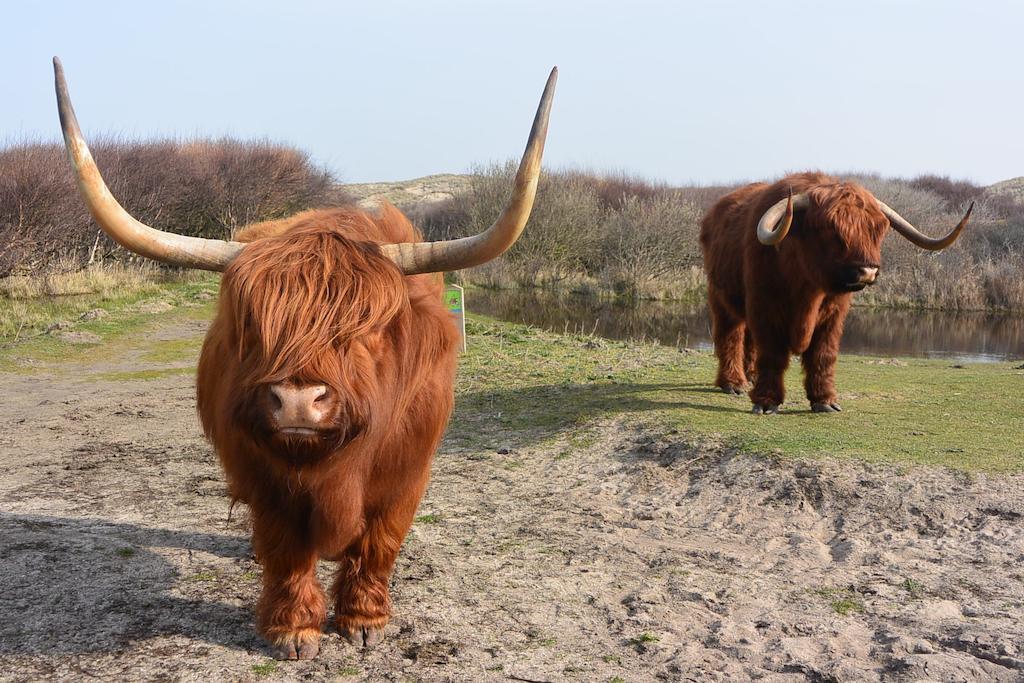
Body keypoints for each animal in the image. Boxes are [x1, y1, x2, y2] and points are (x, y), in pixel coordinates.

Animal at [51, 60, 557, 663]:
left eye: (366, 331)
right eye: (252, 324)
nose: (297, 401)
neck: (334, 473)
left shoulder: (406, 476)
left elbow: (380, 542)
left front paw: (364, 620)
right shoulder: (261, 476)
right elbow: (285, 548)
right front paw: (293, 629)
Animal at [700, 174, 970, 413]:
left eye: (878, 229)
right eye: (830, 228)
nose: (868, 270)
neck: (806, 288)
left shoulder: (833, 315)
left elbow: (823, 354)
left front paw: (825, 401)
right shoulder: (765, 306)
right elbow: (772, 353)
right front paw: (766, 402)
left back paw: (750, 376)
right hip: (720, 298)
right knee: (730, 336)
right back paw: (733, 383)